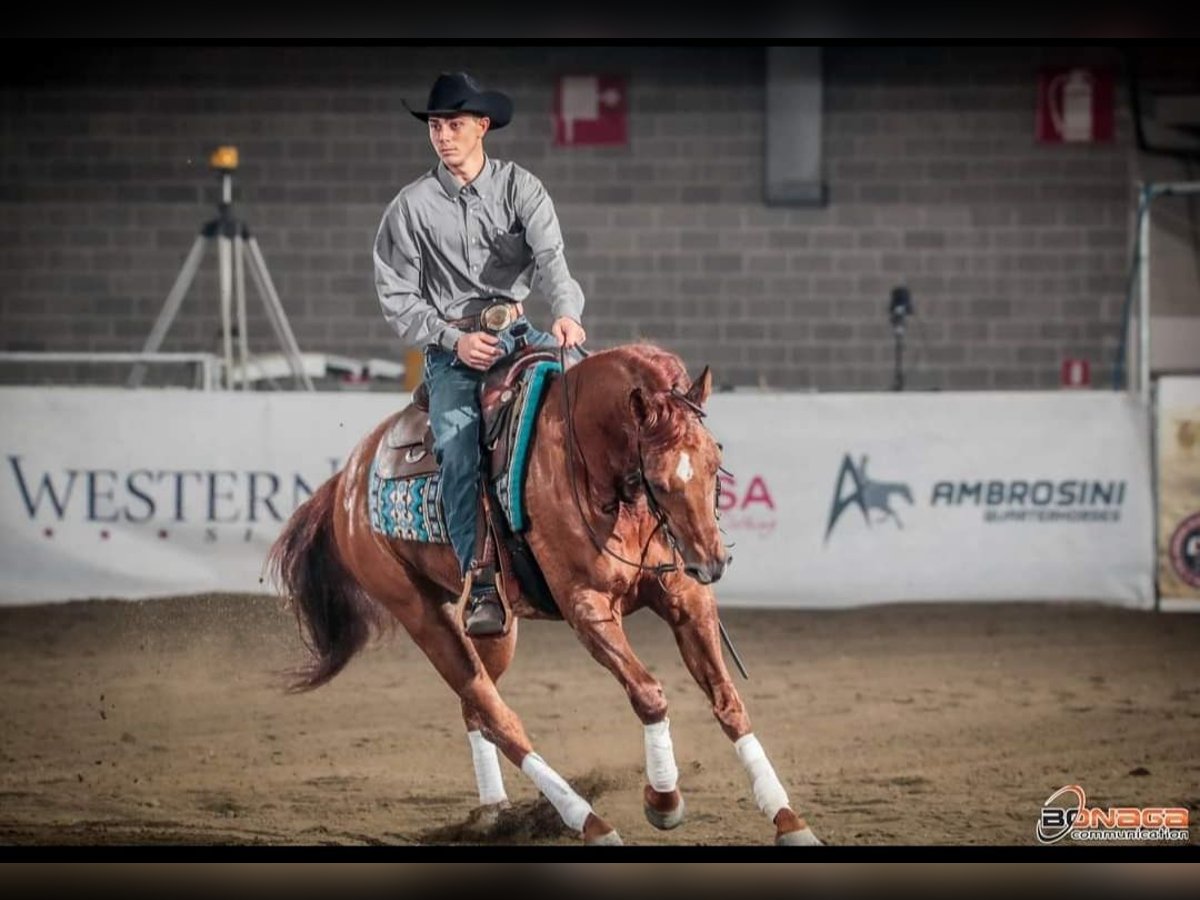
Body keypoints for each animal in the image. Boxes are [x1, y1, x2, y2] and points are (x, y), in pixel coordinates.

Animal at [267, 343, 820, 844]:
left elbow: (728, 701)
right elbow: (649, 694)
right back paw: (590, 822)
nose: (711, 562)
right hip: (420, 613)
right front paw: (663, 801)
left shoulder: (684, 597)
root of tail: (348, 479)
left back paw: (496, 814)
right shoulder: (587, 609)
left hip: (496, 627)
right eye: (660, 479)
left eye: (715, 461)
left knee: (476, 711)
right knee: (499, 717)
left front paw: (788, 819)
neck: (593, 470)